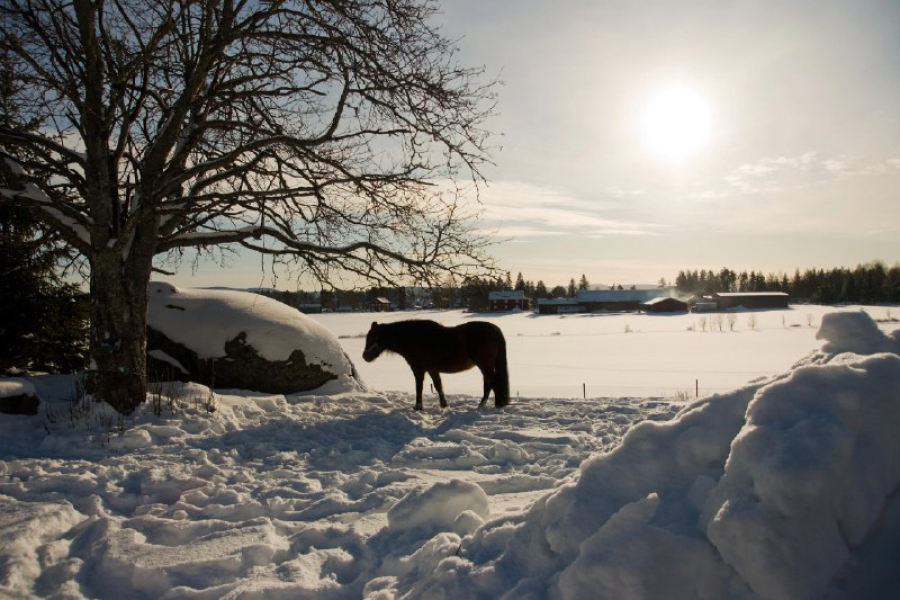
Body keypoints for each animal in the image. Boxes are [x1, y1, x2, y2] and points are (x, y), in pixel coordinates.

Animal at [362, 318, 510, 412]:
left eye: (373, 338)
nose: (365, 357)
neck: (415, 338)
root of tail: (494, 330)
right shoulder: (432, 369)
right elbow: (439, 386)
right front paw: (444, 405)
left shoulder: (418, 369)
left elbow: (419, 388)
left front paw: (418, 407)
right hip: (485, 366)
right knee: (489, 385)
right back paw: (482, 406)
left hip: (484, 365)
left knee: (494, 383)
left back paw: (497, 406)